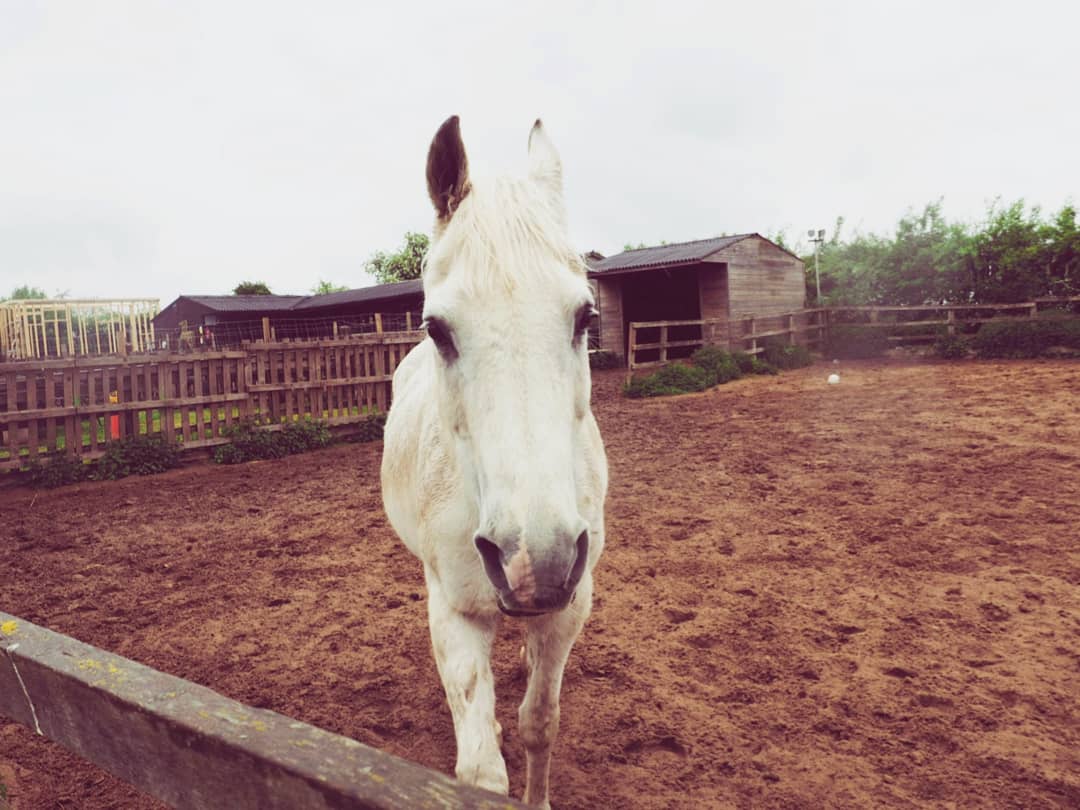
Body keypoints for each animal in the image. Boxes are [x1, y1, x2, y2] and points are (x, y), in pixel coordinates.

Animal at [380, 116, 608, 808]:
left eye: (585, 315)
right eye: (437, 329)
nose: (535, 560)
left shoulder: (572, 603)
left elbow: (540, 722)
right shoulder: (454, 611)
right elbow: (480, 768)